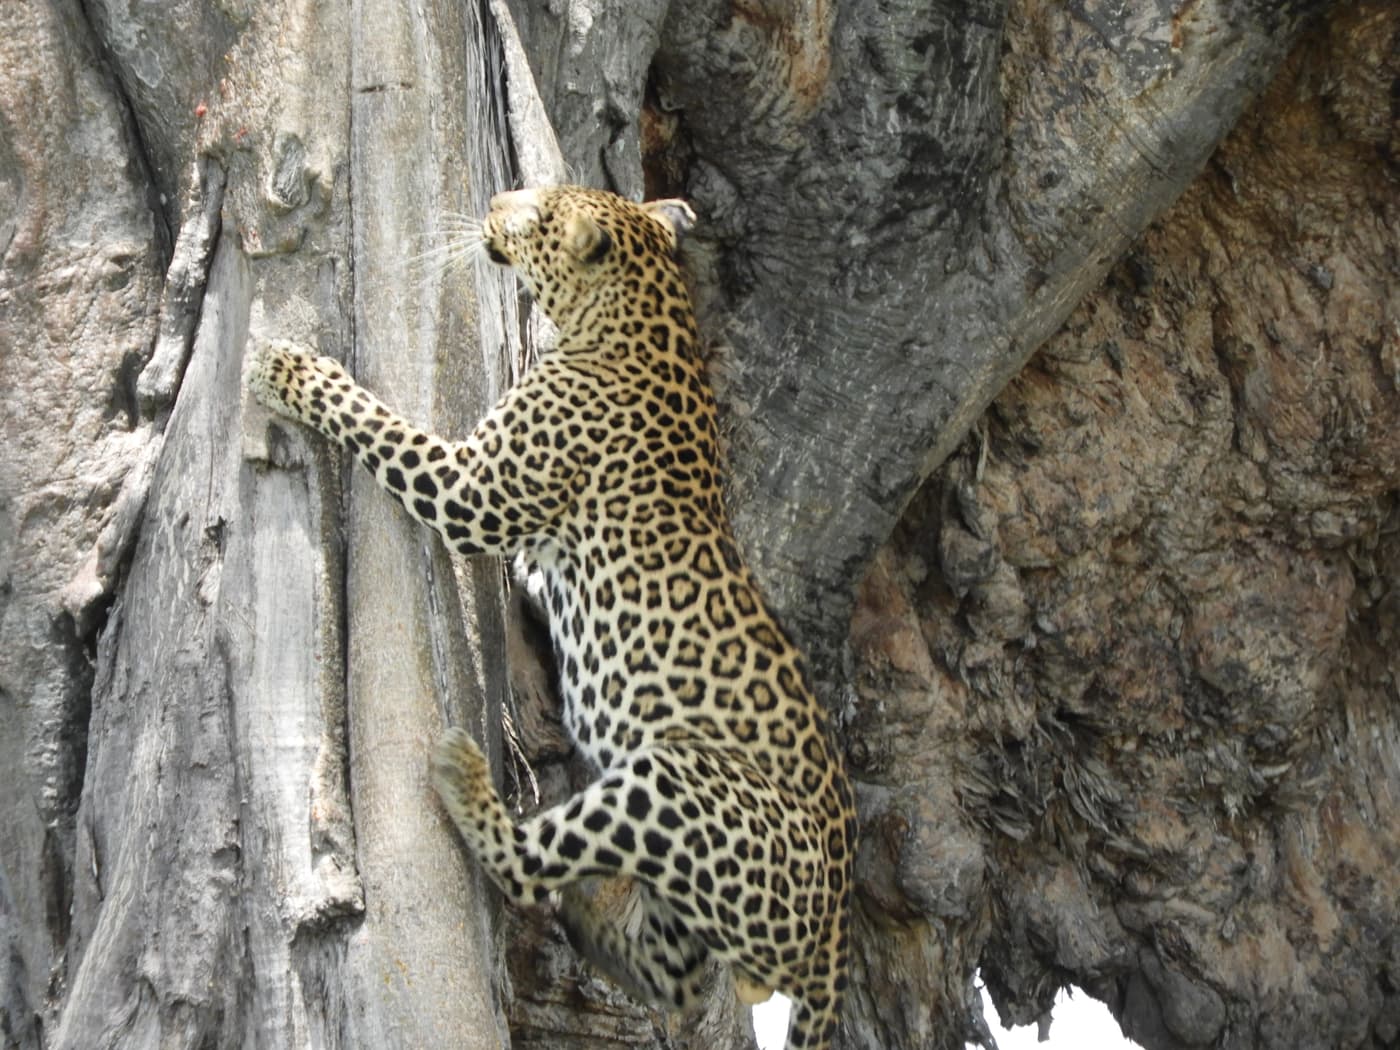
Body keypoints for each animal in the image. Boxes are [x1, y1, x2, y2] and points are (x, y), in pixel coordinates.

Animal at [246, 186, 855, 1050]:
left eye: (534, 214)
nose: (494, 200)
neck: (643, 311)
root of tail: (838, 927)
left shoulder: (471, 492)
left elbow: (379, 422)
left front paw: (291, 370)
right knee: (683, 977)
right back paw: (592, 923)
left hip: (679, 781)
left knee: (530, 867)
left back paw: (469, 783)